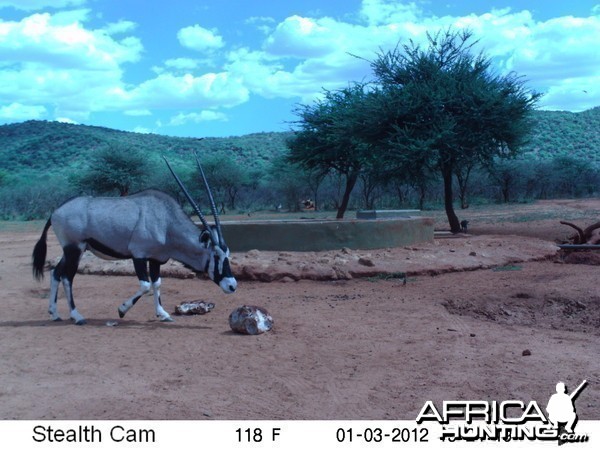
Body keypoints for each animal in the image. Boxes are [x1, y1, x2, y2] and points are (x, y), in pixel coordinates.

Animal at [31, 155, 236, 324]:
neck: (166, 221)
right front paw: (122, 310)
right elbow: (145, 285)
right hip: (75, 249)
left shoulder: (156, 259)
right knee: (67, 277)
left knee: (56, 273)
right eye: (215, 255)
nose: (232, 285)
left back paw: (55, 314)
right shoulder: (139, 255)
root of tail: (55, 212)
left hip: (72, 251)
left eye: (227, 253)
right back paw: (77, 316)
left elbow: (157, 283)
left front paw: (163, 314)